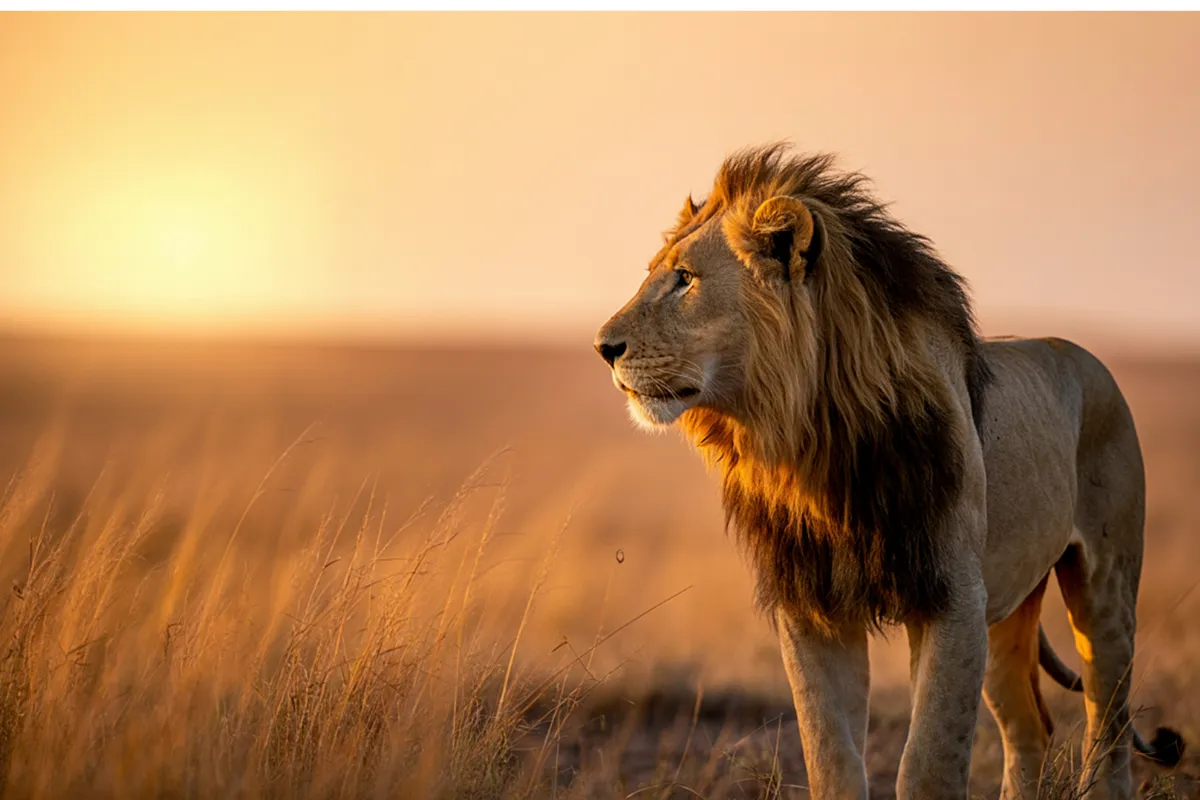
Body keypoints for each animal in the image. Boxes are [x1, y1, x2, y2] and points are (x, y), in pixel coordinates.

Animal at [593, 144, 1182, 799]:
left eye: (685, 279)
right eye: (655, 272)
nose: (603, 347)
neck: (812, 441)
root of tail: (1086, 357)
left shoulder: (952, 596)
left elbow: (928, 762)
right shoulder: (813, 606)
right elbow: (831, 755)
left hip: (1104, 585)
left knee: (1108, 727)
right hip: (1007, 608)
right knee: (1031, 727)